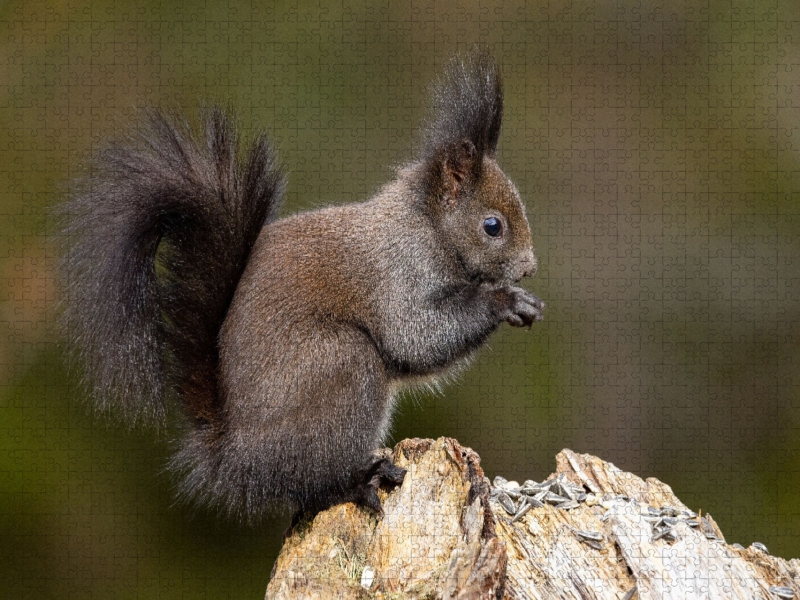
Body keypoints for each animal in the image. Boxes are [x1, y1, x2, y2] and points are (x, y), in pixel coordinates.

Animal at [57, 51, 544, 520]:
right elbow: (416, 337)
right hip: (340, 366)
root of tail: (234, 459)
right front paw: (505, 301)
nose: (529, 268)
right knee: (312, 484)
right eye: (492, 226)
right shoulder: (400, 274)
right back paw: (358, 481)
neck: (427, 225)